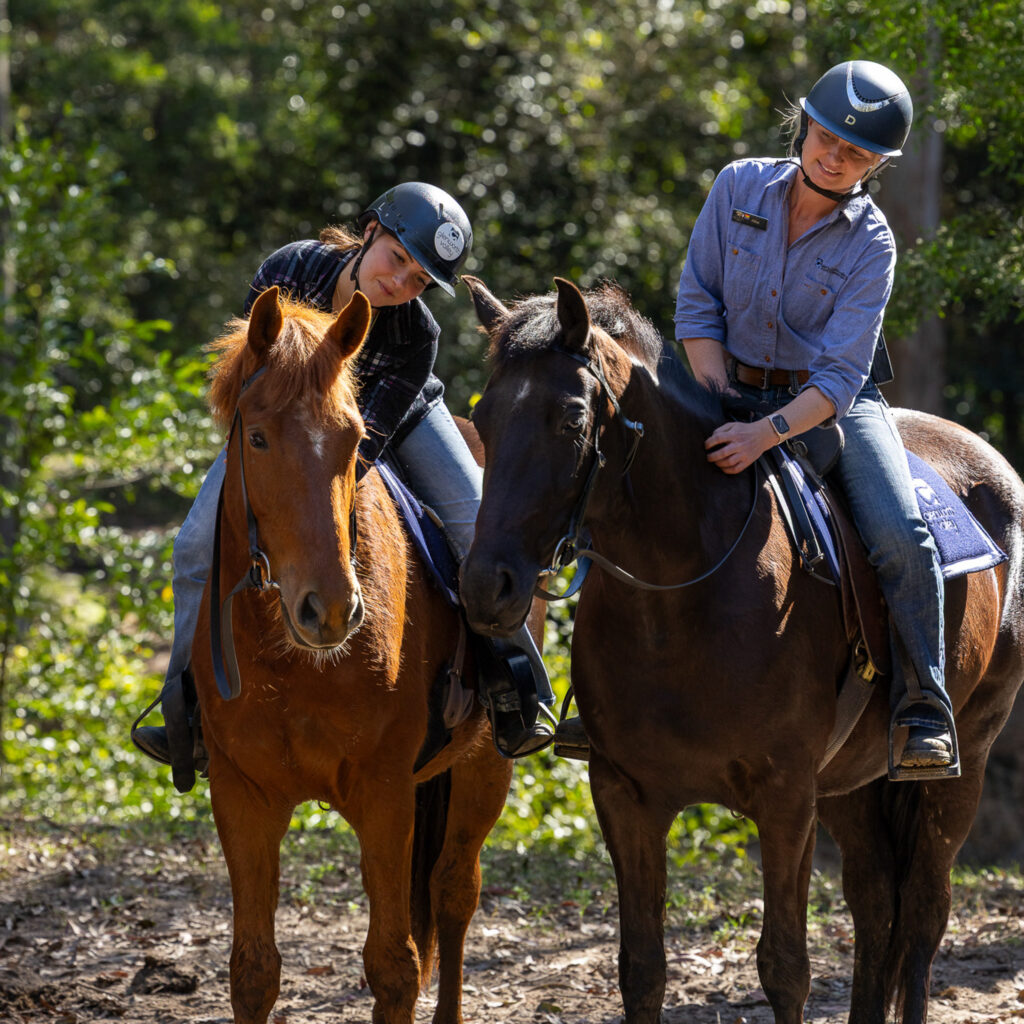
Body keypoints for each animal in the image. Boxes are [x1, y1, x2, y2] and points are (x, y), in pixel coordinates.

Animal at [189, 286, 514, 1024]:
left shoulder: (384, 794)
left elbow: (393, 967)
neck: (290, 661)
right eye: (257, 437)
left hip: (485, 766)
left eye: (356, 440)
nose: (330, 609)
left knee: (454, 893)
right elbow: (253, 970)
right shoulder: (242, 796)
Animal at [458, 275, 1024, 1024]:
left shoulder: (784, 798)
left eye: (572, 421)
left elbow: (784, 967)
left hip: (965, 760)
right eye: (486, 419)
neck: (680, 602)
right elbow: (642, 969)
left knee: (925, 914)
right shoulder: (625, 794)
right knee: (877, 902)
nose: (484, 585)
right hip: (851, 782)